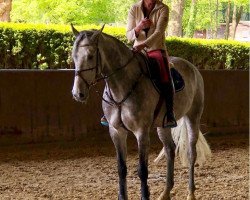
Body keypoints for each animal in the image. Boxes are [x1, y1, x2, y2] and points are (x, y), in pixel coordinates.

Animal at [71, 25, 211, 200]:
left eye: (90, 56)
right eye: (74, 56)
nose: (78, 93)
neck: (123, 85)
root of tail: (192, 67)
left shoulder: (141, 132)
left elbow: (142, 170)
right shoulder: (116, 131)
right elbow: (121, 168)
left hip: (193, 116)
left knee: (192, 153)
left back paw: (190, 193)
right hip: (163, 125)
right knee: (170, 150)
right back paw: (165, 192)